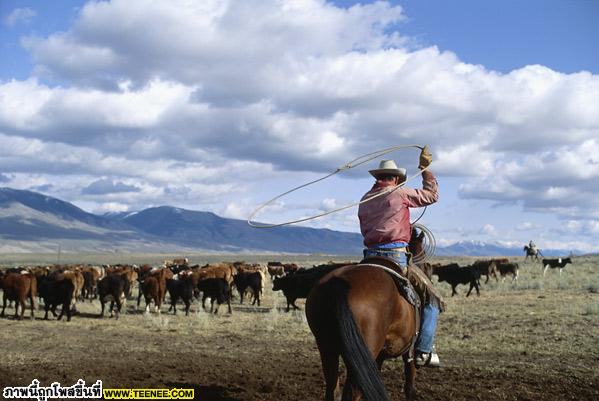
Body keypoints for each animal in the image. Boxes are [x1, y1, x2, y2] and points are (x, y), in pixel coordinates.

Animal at [308, 231, 424, 400]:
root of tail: (338, 283)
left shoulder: (378, 358)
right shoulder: (409, 352)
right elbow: (409, 385)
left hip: (327, 348)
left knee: (332, 390)